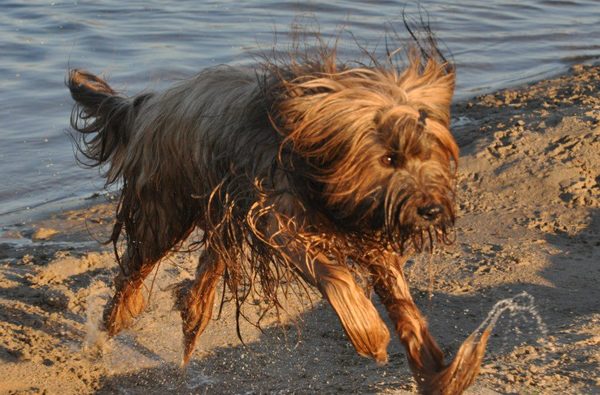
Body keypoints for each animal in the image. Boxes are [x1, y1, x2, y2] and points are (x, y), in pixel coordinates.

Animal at [69, 26, 492, 394]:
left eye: (428, 154)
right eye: (390, 158)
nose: (431, 210)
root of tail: (145, 103)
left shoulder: (367, 229)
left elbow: (405, 307)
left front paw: (440, 370)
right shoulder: (278, 220)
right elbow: (335, 277)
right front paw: (370, 334)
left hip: (219, 214)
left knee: (203, 278)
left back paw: (190, 322)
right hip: (164, 211)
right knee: (133, 270)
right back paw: (115, 321)